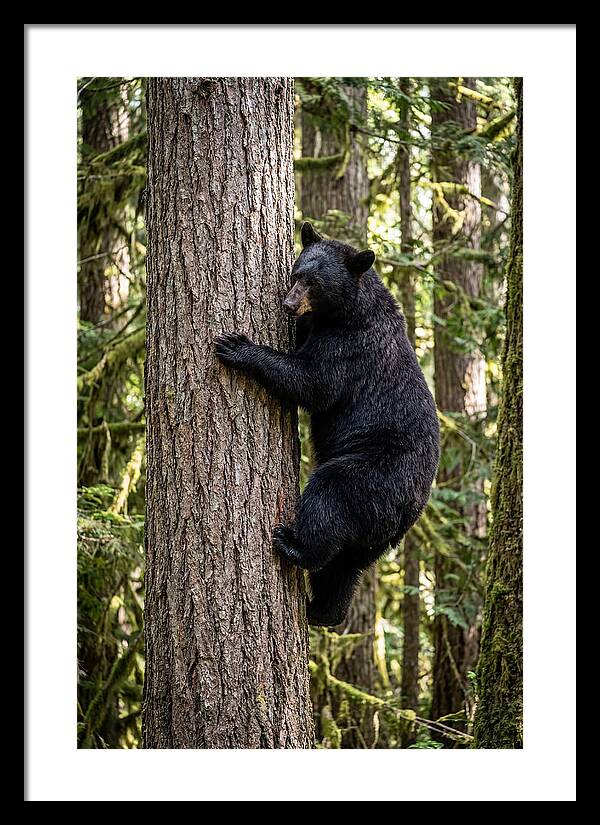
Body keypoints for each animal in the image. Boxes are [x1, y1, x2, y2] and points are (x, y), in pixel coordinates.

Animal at [215, 221, 440, 627]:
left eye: (315, 283)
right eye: (296, 273)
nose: (289, 304)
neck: (347, 312)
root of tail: (410, 510)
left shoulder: (349, 347)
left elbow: (312, 382)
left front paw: (237, 346)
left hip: (372, 475)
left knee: (329, 499)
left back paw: (292, 545)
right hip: (374, 535)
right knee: (345, 567)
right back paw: (323, 610)